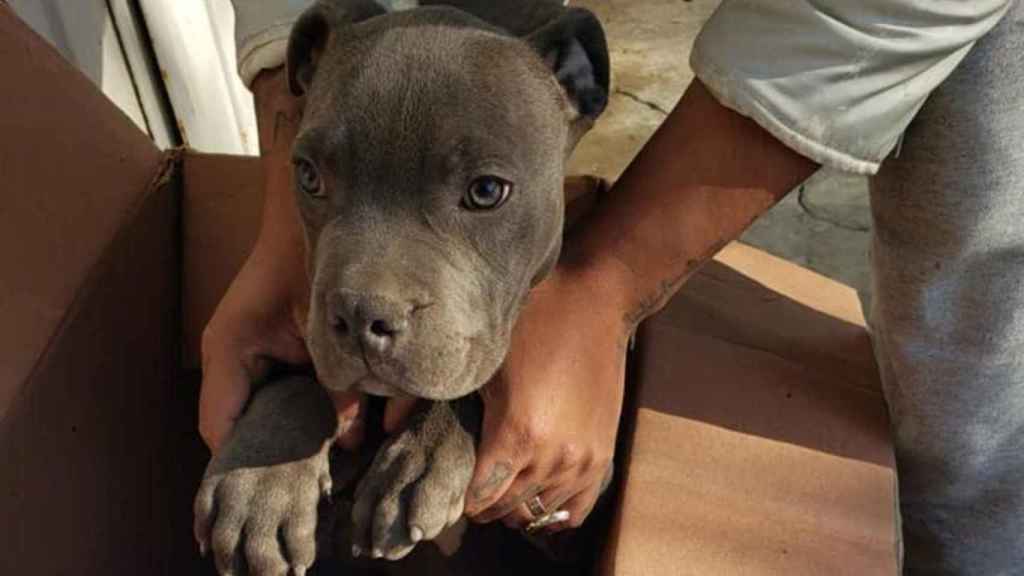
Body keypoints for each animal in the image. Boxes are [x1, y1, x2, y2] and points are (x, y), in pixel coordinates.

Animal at [192, 2, 606, 569]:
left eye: (486, 190)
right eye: (308, 176)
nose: (360, 315)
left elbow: (465, 376)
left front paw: (420, 458)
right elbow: (294, 376)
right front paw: (260, 481)